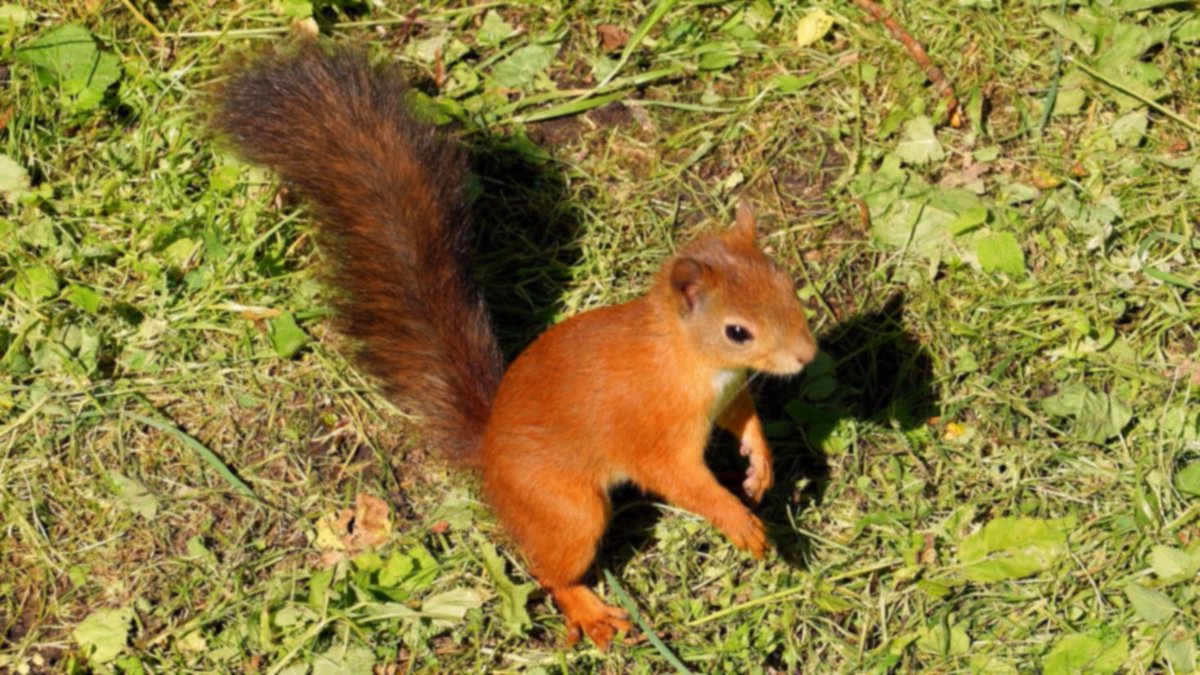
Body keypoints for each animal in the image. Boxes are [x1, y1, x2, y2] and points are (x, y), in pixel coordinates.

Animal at [211, 43, 818, 649]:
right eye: (737, 332)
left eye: (787, 283)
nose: (806, 357)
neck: (690, 361)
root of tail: (488, 451)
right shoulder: (655, 432)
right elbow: (682, 481)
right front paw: (739, 521)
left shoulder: (730, 391)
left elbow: (744, 418)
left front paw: (759, 465)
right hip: (569, 509)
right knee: (550, 571)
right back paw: (589, 611)